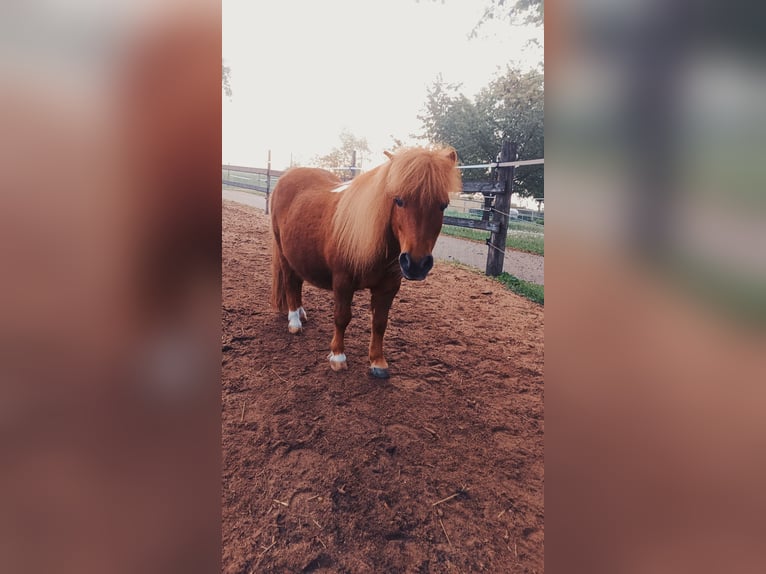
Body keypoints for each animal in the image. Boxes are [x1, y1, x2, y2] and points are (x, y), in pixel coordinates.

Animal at [270, 146, 461, 378]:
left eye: (443, 205)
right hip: (284, 255)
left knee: (297, 284)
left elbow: (379, 323)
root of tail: (287, 176)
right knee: (290, 283)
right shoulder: (342, 282)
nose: (416, 264)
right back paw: (294, 322)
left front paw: (378, 362)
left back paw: (300, 313)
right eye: (398, 200)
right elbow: (342, 317)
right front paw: (338, 357)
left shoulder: (388, 287)